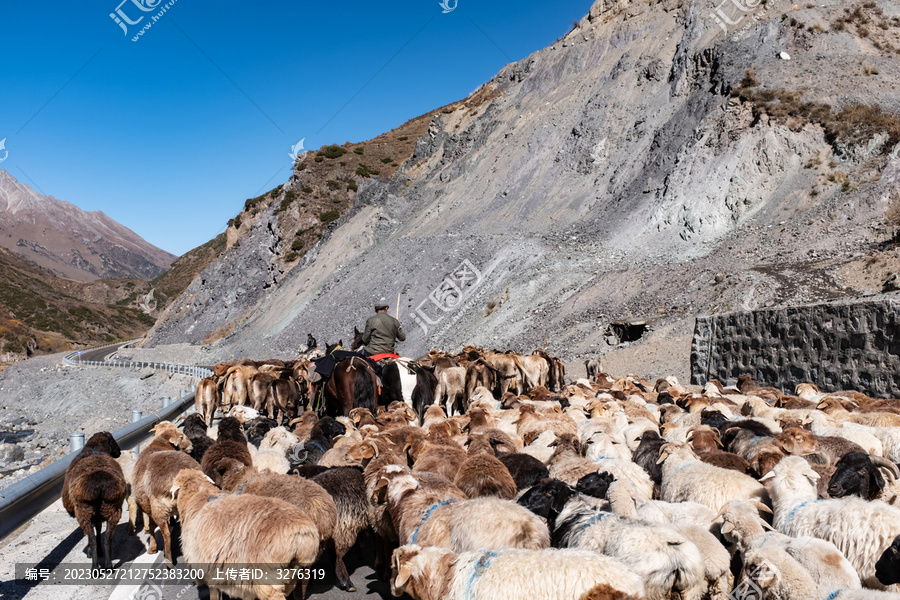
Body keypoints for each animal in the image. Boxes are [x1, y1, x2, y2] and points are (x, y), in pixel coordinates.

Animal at [60, 434, 125, 568]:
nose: (119, 452)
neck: (95, 448)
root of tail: (99, 484)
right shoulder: (98, 516)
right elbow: (99, 530)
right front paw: (100, 552)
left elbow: (96, 533)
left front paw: (91, 552)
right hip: (112, 509)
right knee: (107, 538)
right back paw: (108, 566)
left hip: (85, 512)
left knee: (92, 539)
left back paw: (94, 567)